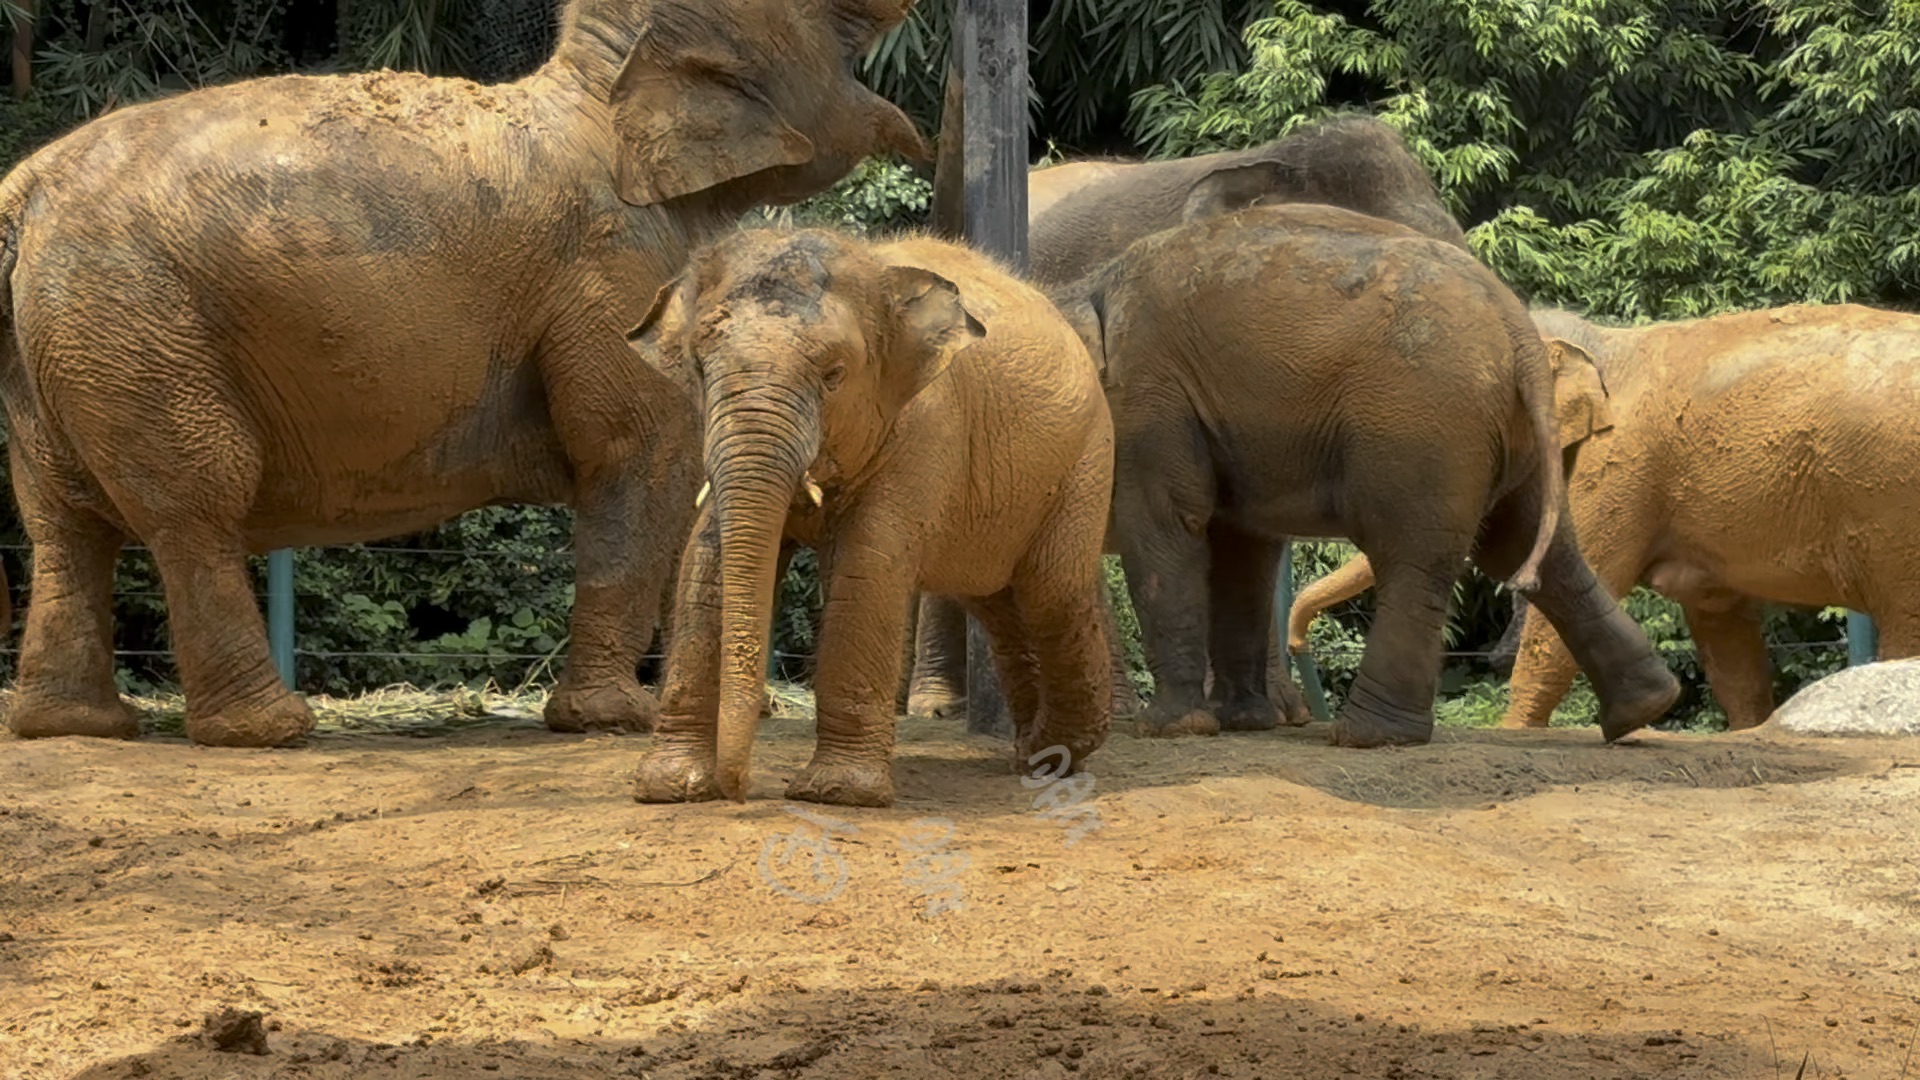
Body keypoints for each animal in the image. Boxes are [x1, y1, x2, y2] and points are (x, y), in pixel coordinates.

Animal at [0, 0, 929, 745]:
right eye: (841, 24)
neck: (601, 92)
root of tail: (25, 194)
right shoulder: (612, 266)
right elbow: (637, 451)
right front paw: (611, 721)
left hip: (64, 343)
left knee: (62, 519)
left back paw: (76, 725)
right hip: (136, 319)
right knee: (195, 500)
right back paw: (267, 730)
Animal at [629, 226, 1113, 803]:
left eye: (834, 374)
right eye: (700, 369)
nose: (741, 788)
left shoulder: (926, 428)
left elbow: (867, 566)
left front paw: (836, 792)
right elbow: (706, 565)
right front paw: (671, 787)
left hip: (1086, 459)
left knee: (1050, 593)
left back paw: (1052, 760)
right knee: (1000, 605)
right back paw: (1037, 754)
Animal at [1052, 199, 1681, 737]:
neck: (1086, 290)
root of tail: (1518, 330)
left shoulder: (1149, 398)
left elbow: (1167, 524)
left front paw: (1173, 727)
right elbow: (1241, 548)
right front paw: (1242, 723)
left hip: (1420, 422)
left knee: (1412, 553)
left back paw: (1369, 736)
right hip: (1505, 435)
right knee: (1531, 549)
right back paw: (1645, 708)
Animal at [1282, 297, 1920, 726]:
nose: (1295, 649)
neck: (1593, 341)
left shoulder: (1621, 464)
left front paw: (1517, 731)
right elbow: (1721, 630)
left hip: (1893, 502)